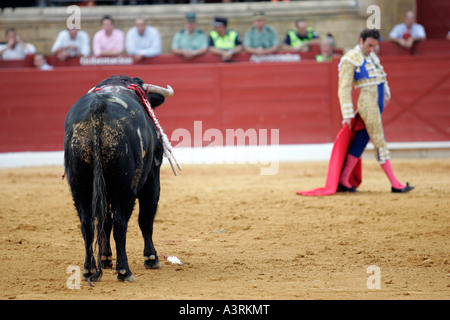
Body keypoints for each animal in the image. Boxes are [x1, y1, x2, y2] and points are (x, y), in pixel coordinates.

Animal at [63, 76, 169, 284]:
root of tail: (97, 108)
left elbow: (105, 222)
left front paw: (105, 258)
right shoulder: (152, 177)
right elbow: (145, 218)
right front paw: (151, 258)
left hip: (79, 187)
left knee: (87, 223)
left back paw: (89, 269)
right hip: (125, 188)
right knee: (121, 222)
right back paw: (124, 270)